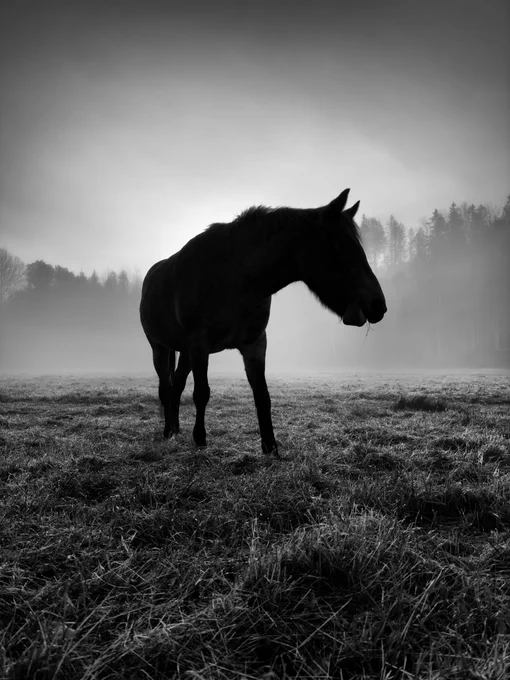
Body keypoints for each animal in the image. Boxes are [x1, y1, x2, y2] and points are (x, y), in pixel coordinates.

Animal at [140, 188, 386, 455]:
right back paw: (168, 431)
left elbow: (262, 395)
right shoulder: (199, 345)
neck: (232, 279)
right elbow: (202, 393)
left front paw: (270, 446)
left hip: (185, 353)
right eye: (340, 247)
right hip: (160, 347)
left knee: (176, 384)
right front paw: (200, 439)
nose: (378, 305)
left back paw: (174, 428)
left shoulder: (255, 343)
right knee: (165, 388)